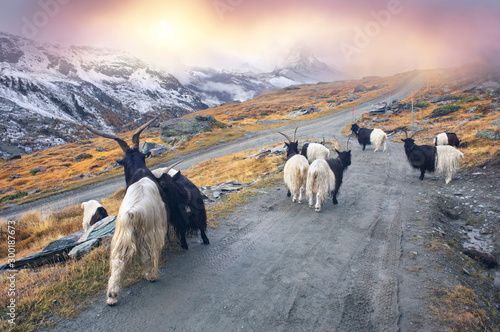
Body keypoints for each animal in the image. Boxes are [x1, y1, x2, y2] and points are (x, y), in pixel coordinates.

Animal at [85, 116, 171, 306]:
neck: (139, 172)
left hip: (121, 235)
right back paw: (150, 275)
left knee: (118, 260)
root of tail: (133, 212)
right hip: (147, 232)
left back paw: (112, 295)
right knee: (148, 254)